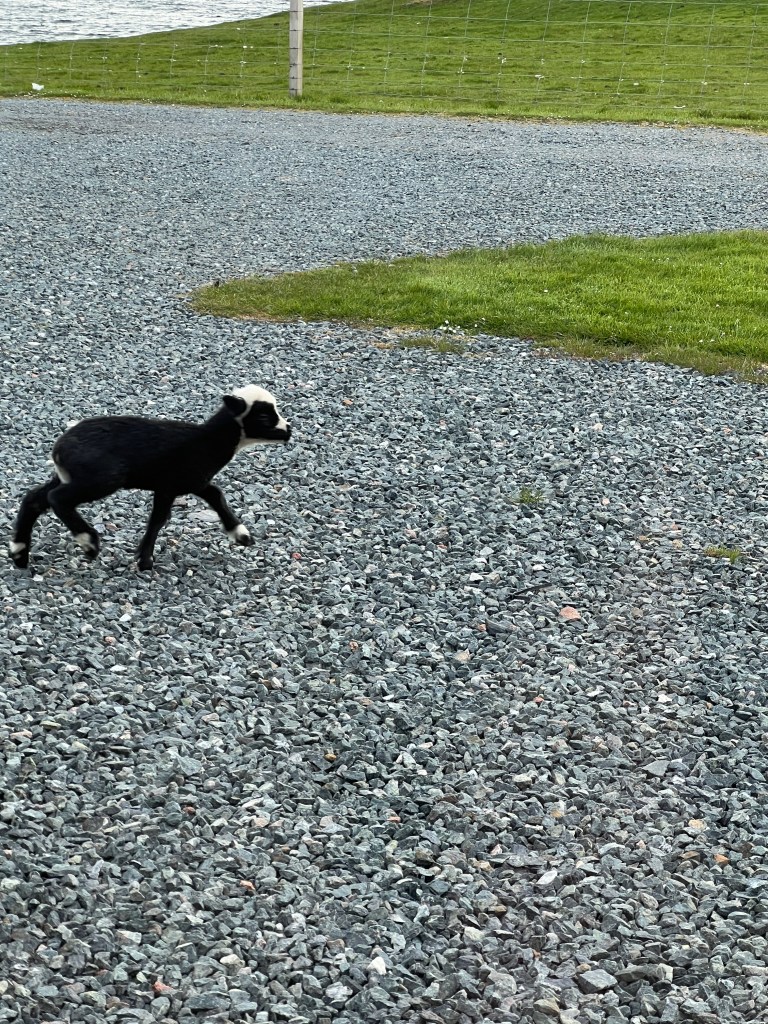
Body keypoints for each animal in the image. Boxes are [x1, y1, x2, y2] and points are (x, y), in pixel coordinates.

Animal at [9, 384, 291, 571]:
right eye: (264, 416)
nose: (288, 430)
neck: (209, 441)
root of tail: (59, 448)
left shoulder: (190, 481)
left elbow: (216, 496)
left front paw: (241, 535)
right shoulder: (172, 484)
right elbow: (158, 520)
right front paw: (145, 561)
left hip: (69, 476)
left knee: (35, 498)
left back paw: (19, 552)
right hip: (102, 478)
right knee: (57, 499)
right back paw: (88, 542)